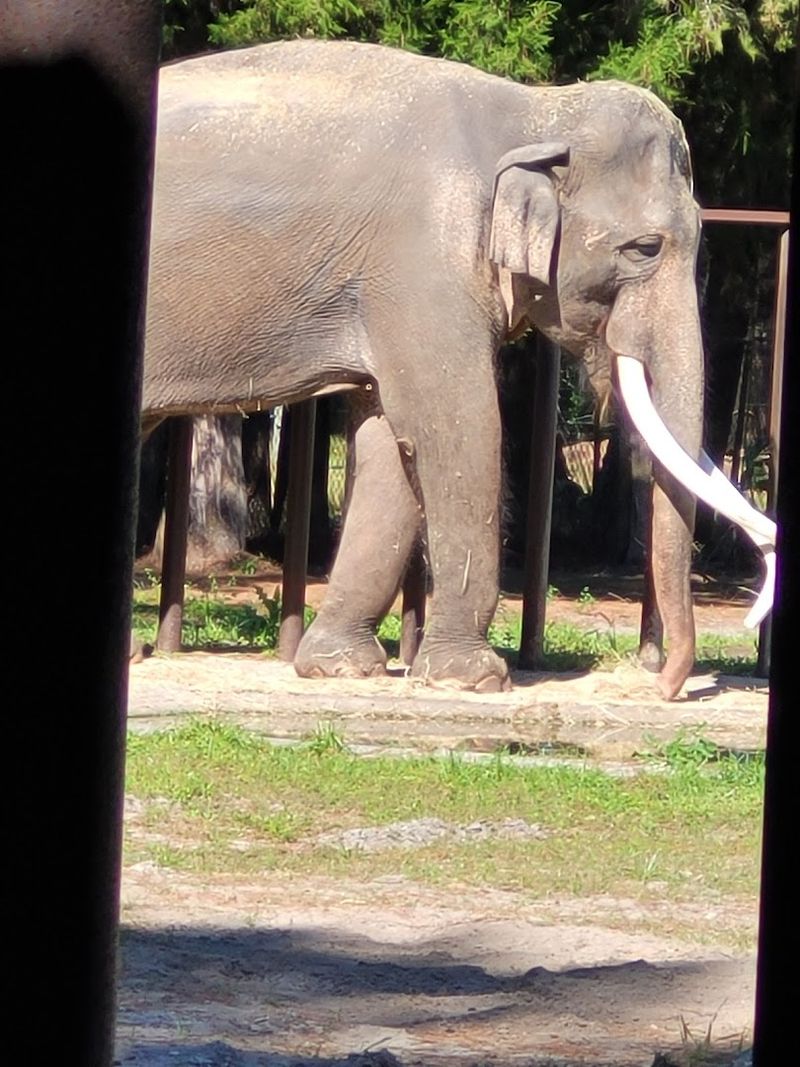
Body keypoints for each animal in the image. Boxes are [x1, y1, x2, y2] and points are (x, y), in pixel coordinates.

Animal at [143, 39, 774, 699]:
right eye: (645, 249)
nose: (662, 685)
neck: (536, 111)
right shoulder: (424, 262)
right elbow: (459, 429)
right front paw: (472, 679)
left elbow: (388, 444)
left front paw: (343, 668)